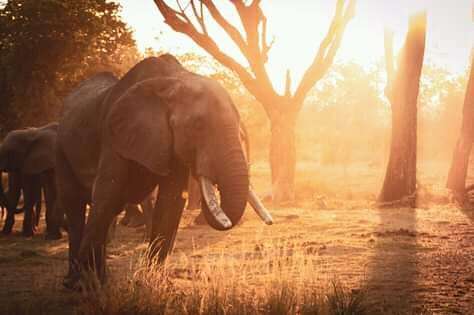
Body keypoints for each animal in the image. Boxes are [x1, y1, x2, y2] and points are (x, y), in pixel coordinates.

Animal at [57, 54, 272, 288]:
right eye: (198, 125)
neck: (173, 81)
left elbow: (171, 201)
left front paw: (152, 282)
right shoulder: (113, 136)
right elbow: (107, 196)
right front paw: (86, 286)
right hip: (62, 148)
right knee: (76, 207)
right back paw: (76, 281)